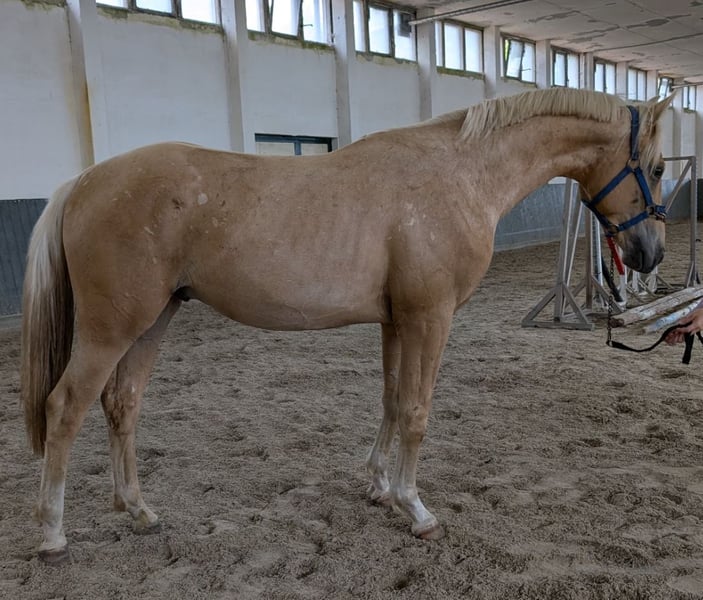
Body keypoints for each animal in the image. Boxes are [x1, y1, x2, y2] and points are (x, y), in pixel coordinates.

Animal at [20, 87, 673, 563]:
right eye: (661, 166)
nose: (649, 254)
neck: (461, 174)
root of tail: (81, 183)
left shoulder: (396, 320)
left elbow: (390, 399)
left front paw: (380, 487)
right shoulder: (429, 317)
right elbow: (416, 410)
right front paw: (417, 510)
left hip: (153, 319)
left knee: (122, 404)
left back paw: (138, 511)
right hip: (112, 328)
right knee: (66, 407)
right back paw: (52, 534)